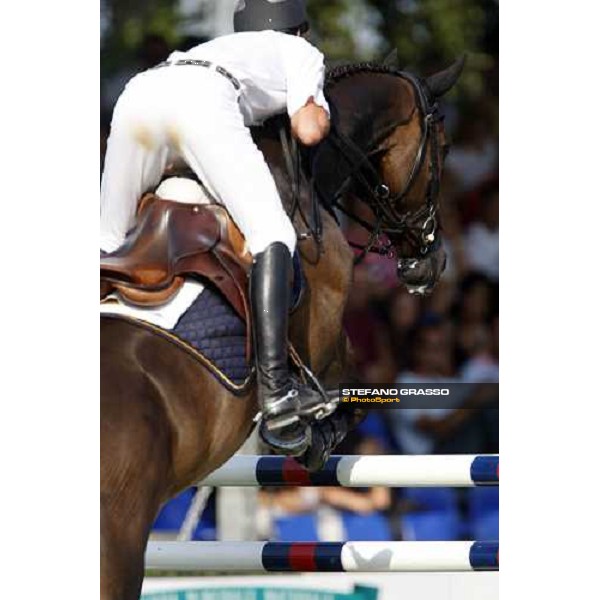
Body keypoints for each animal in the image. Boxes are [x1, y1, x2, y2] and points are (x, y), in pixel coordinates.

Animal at [99, 56, 464, 600]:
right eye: (443, 147)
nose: (432, 262)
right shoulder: (328, 343)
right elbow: (354, 395)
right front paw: (308, 432)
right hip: (118, 546)